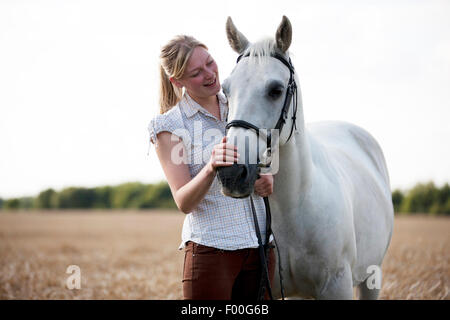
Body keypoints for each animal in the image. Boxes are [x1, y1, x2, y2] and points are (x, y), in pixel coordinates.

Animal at [219, 16, 394, 298]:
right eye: (226, 90)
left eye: (276, 90)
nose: (231, 173)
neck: (293, 203)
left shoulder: (338, 285)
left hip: (371, 277)